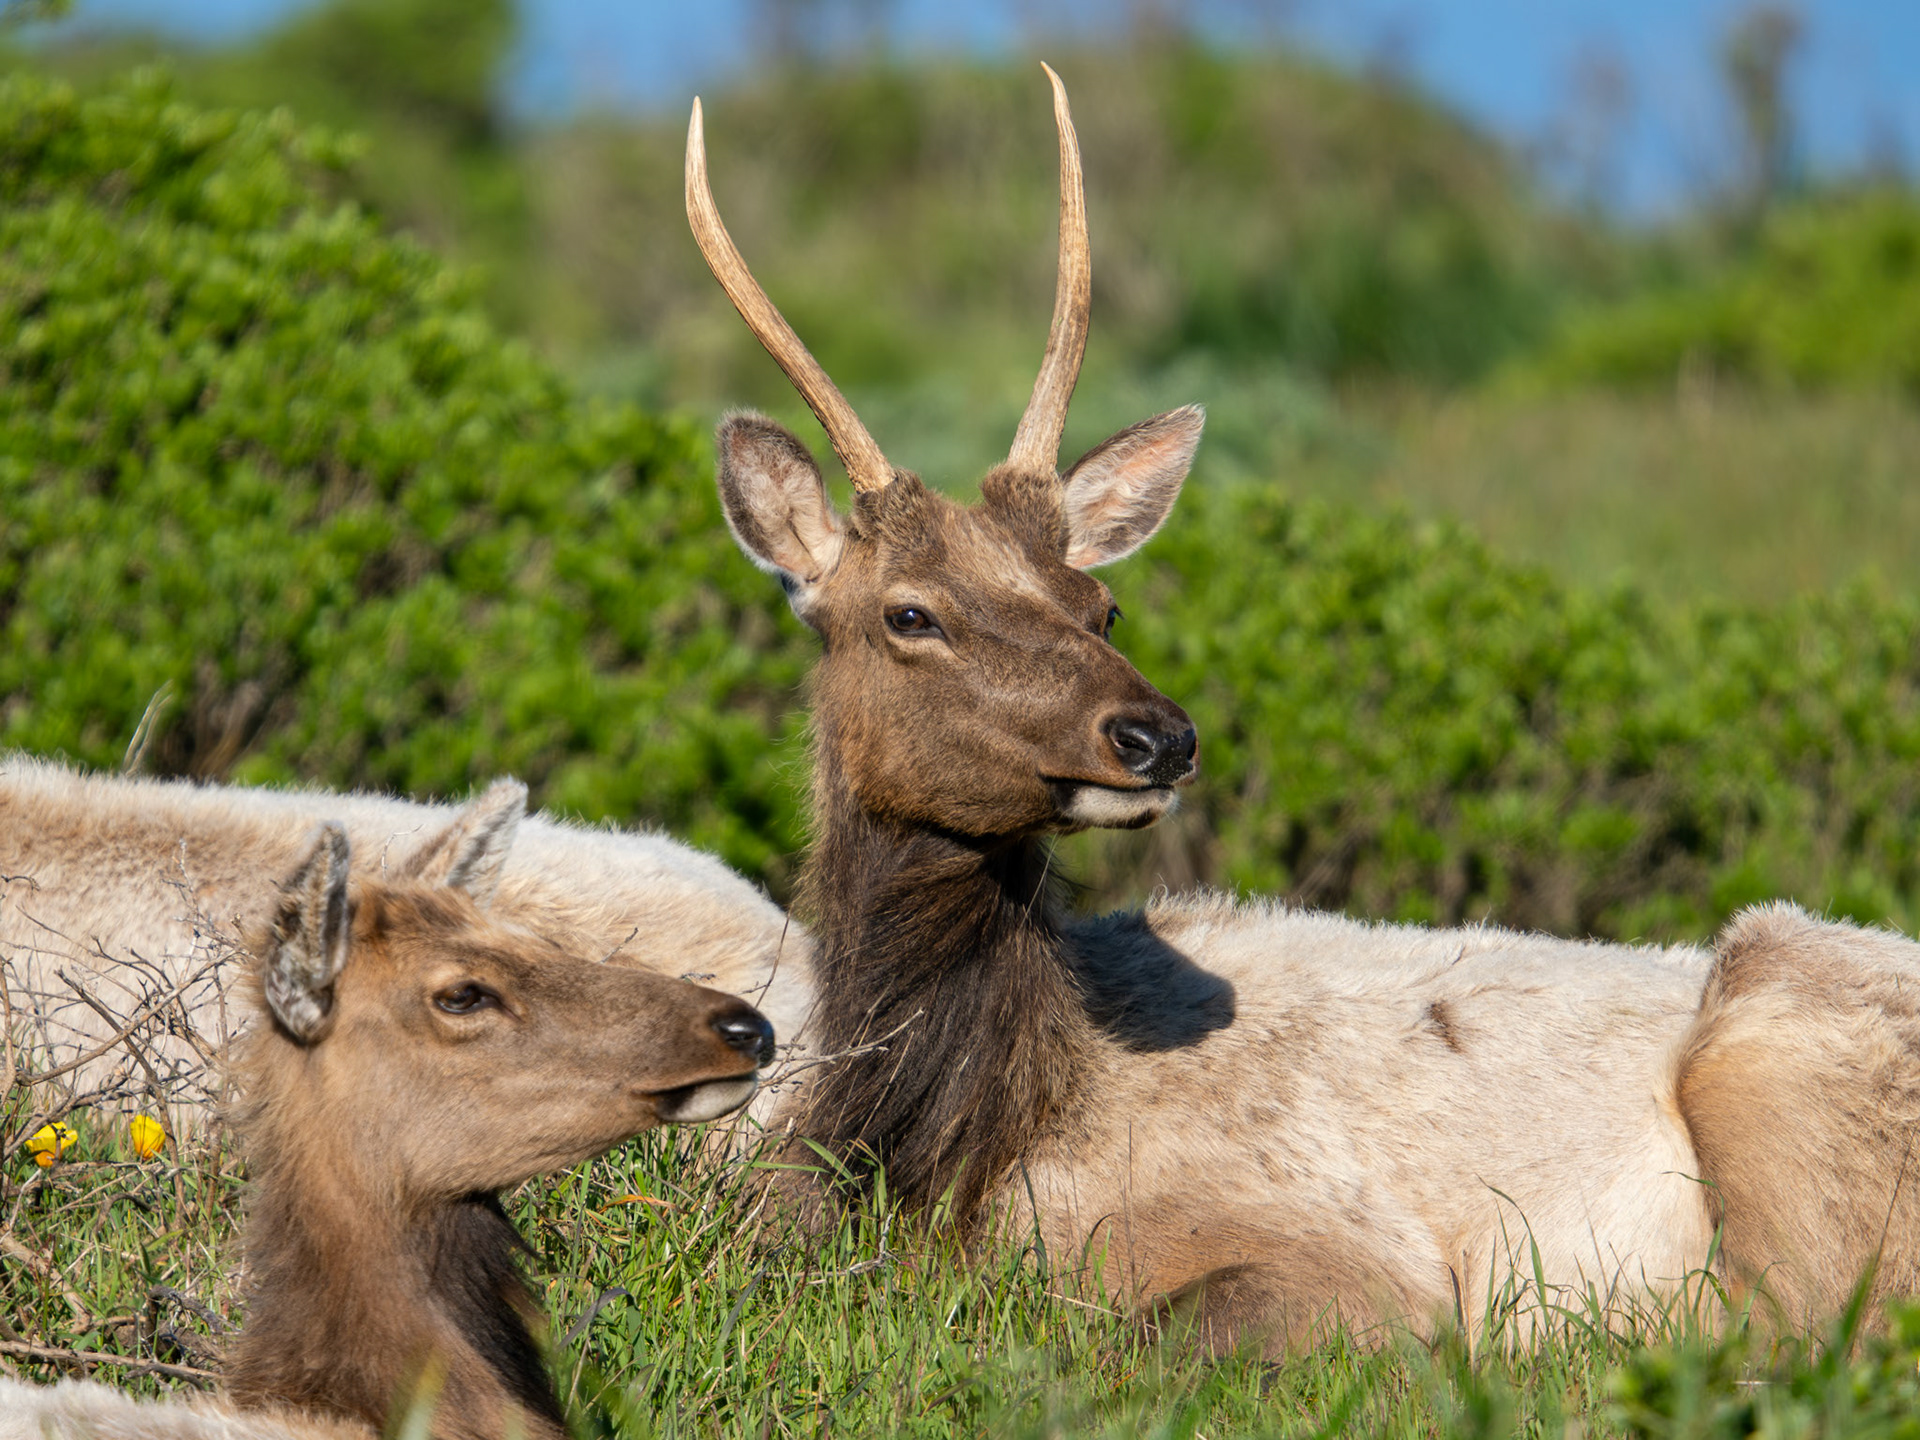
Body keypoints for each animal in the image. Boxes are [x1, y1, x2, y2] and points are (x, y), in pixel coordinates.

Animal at [685, 66, 1920, 1351]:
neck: (957, 1158)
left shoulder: (1356, 1257)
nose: (1156, 736)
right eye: (910, 614)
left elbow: (1168, 1330)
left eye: (1101, 602)